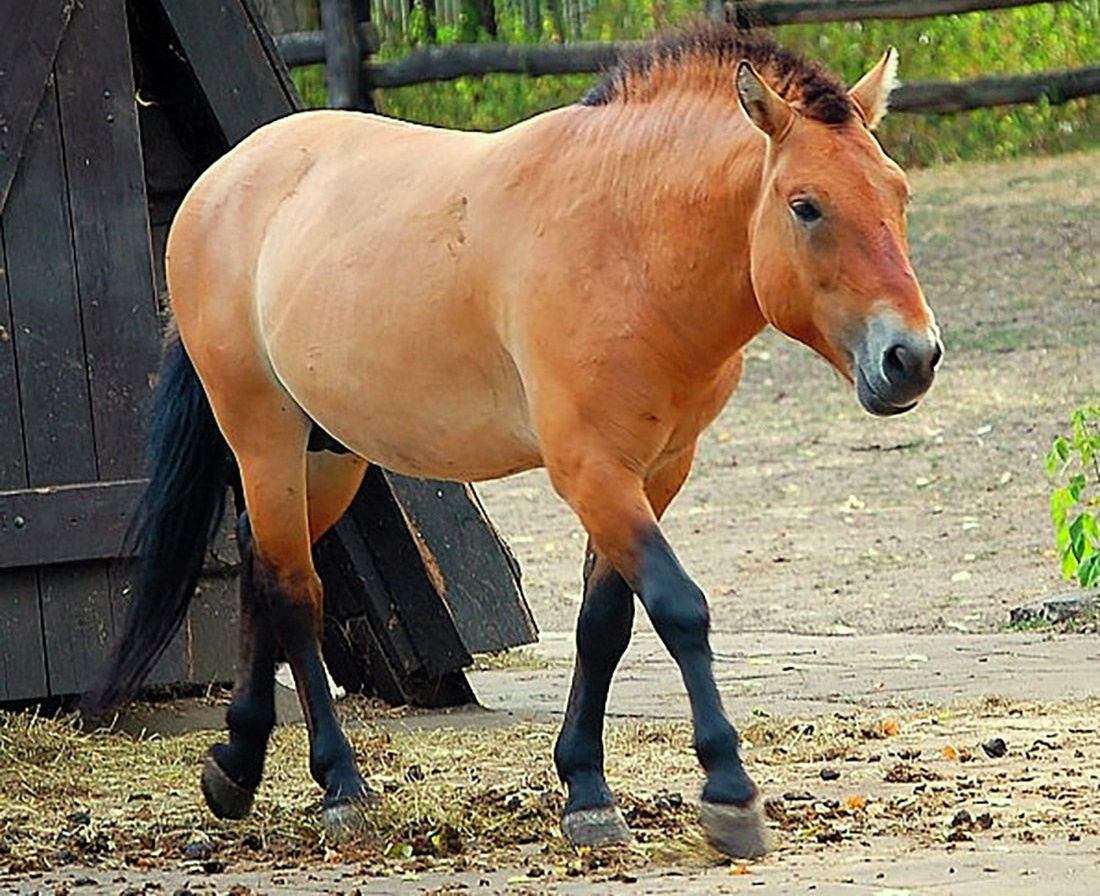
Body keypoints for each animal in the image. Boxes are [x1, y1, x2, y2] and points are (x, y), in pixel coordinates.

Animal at [90, 24, 941, 857]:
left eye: (898, 194)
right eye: (806, 206)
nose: (912, 357)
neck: (628, 239)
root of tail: (220, 182)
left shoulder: (656, 472)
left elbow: (605, 625)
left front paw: (587, 790)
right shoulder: (592, 471)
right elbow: (678, 607)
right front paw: (728, 790)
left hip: (328, 452)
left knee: (261, 562)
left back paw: (236, 765)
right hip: (263, 433)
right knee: (296, 590)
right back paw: (340, 787)